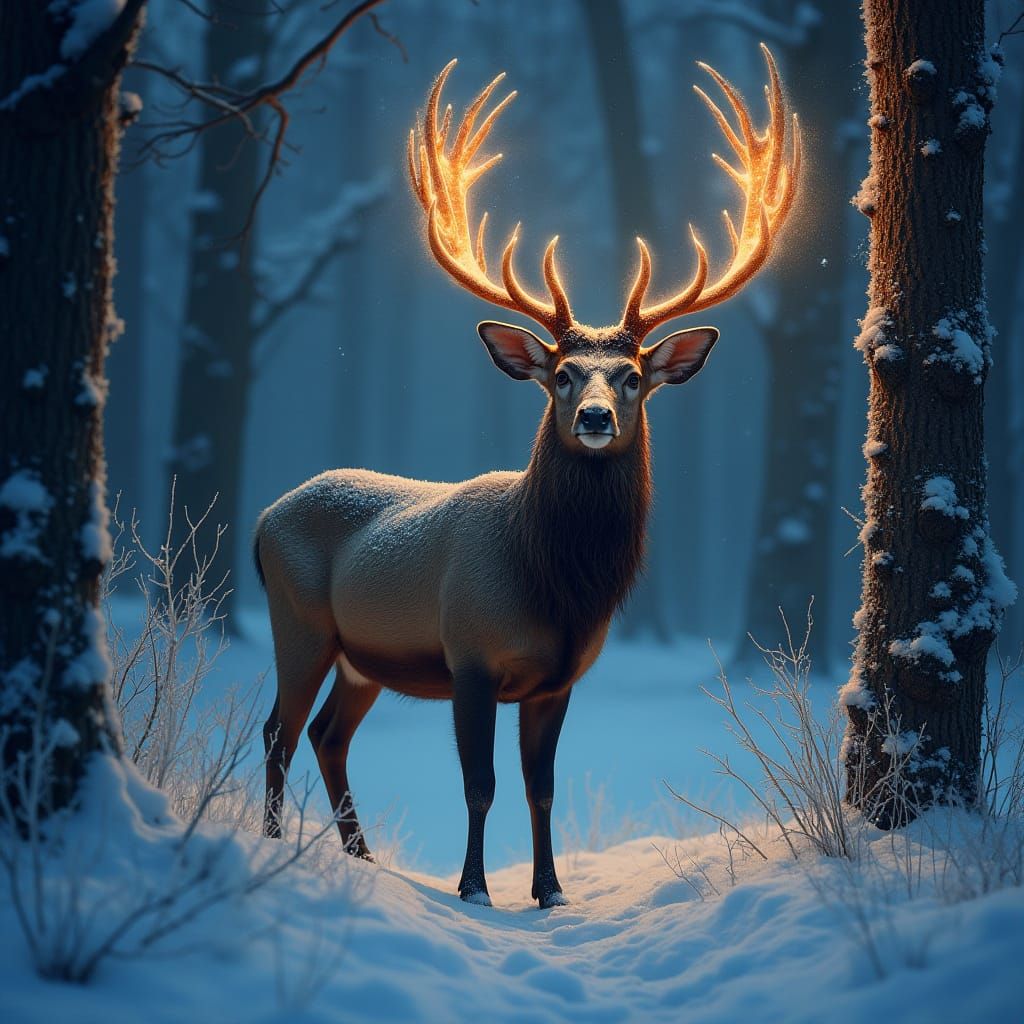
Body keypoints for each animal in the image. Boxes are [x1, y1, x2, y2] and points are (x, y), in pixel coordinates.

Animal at [254, 45, 799, 908]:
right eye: (563, 375)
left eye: (634, 378)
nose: (597, 418)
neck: (552, 585)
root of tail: (263, 518)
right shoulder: (470, 654)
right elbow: (479, 785)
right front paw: (474, 887)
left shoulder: (557, 679)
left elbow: (543, 787)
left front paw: (549, 889)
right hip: (299, 619)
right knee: (278, 727)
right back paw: (276, 843)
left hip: (359, 657)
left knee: (324, 733)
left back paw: (361, 857)